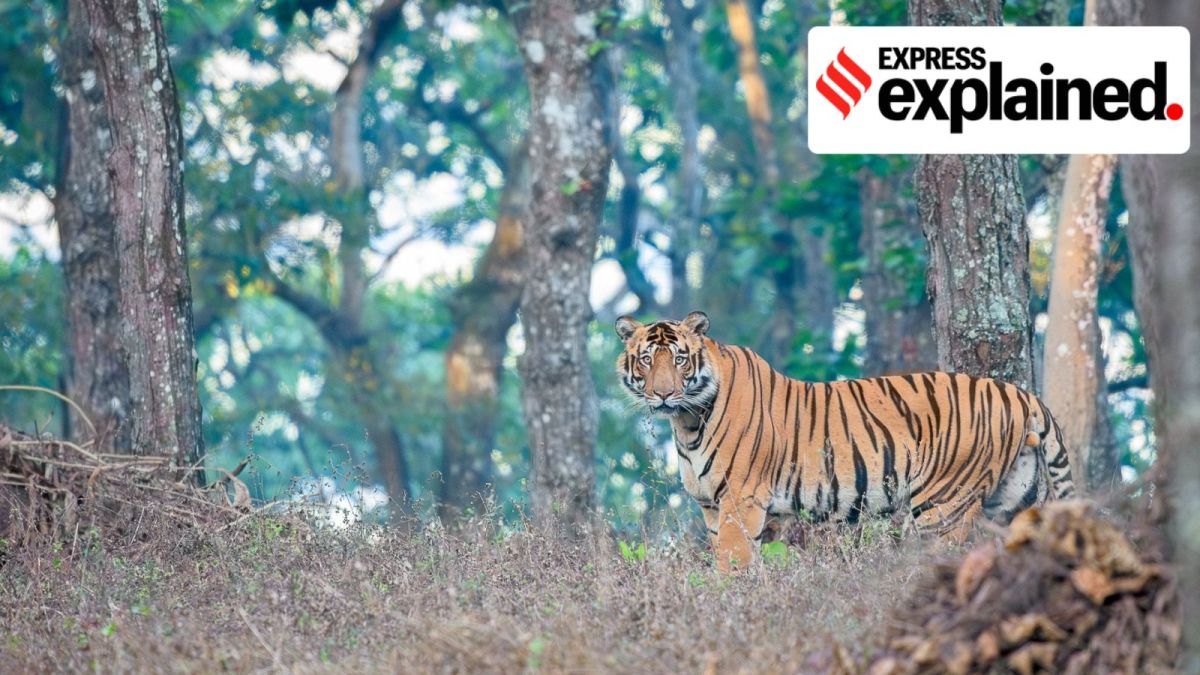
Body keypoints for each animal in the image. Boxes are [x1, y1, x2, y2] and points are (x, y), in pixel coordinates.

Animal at [615, 311, 1076, 573]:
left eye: (679, 359)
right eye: (646, 360)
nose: (662, 394)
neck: (687, 420)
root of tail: (1018, 393)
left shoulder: (739, 501)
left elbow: (734, 561)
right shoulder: (712, 506)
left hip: (942, 505)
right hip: (1016, 498)